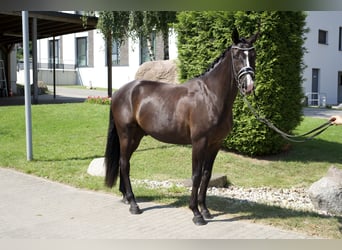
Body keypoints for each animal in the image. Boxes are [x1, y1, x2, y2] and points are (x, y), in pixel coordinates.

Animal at [104, 28, 256, 226]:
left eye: (253, 55)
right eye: (237, 56)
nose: (249, 85)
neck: (211, 96)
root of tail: (118, 93)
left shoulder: (215, 144)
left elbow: (206, 174)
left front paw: (205, 210)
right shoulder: (199, 142)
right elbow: (196, 175)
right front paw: (196, 213)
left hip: (136, 137)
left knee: (125, 163)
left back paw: (125, 197)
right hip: (126, 135)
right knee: (124, 164)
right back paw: (133, 204)